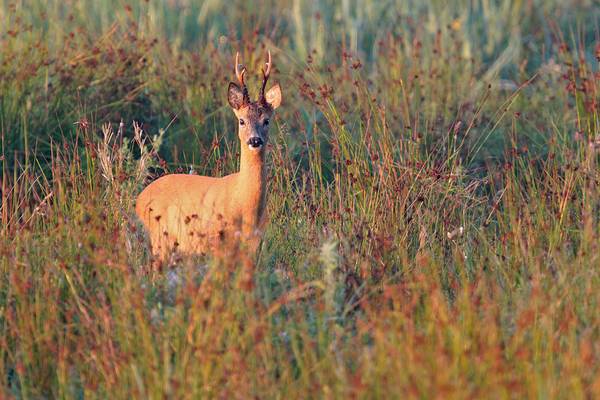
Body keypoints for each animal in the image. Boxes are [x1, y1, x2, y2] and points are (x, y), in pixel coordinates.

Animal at [137, 50, 282, 262]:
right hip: (159, 239)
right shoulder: (216, 241)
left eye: (266, 121)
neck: (245, 205)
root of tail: (139, 199)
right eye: (241, 121)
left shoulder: (253, 247)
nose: (255, 140)